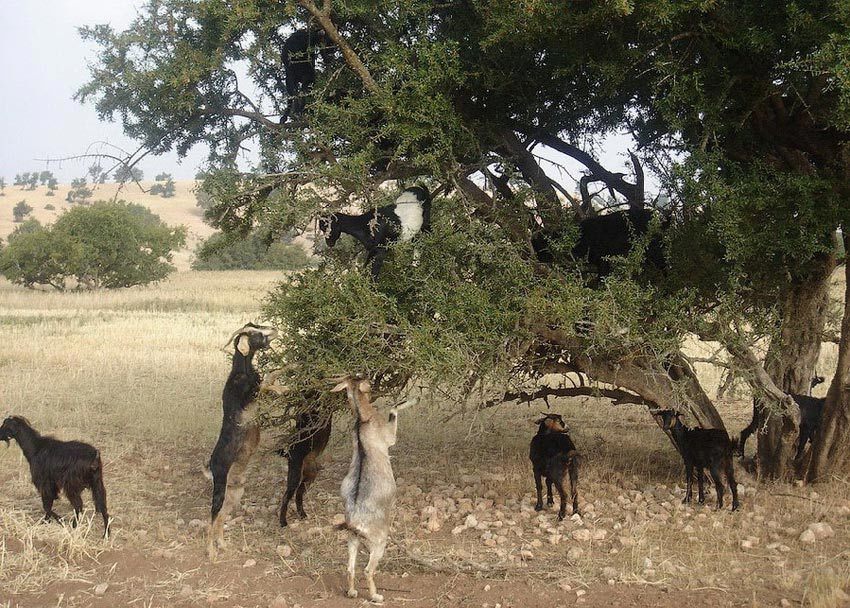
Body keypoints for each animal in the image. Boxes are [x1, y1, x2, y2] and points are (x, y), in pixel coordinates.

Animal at [206, 326, 280, 560]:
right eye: (256, 334)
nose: (274, 329)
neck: (242, 372)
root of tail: (210, 465)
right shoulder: (253, 394)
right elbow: (269, 379)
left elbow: (272, 378)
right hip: (219, 490)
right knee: (212, 517)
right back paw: (211, 552)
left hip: (235, 495)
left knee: (221, 517)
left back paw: (222, 545)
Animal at [332, 376, 414, 604]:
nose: (372, 386)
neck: (363, 420)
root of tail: (355, 524)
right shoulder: (389, 437)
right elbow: (394, 411)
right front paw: (408, 401)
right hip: (379, 543)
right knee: (368, 570)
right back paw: (376, 596)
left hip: (352, 540)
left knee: (350, 568)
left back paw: (352, 592)